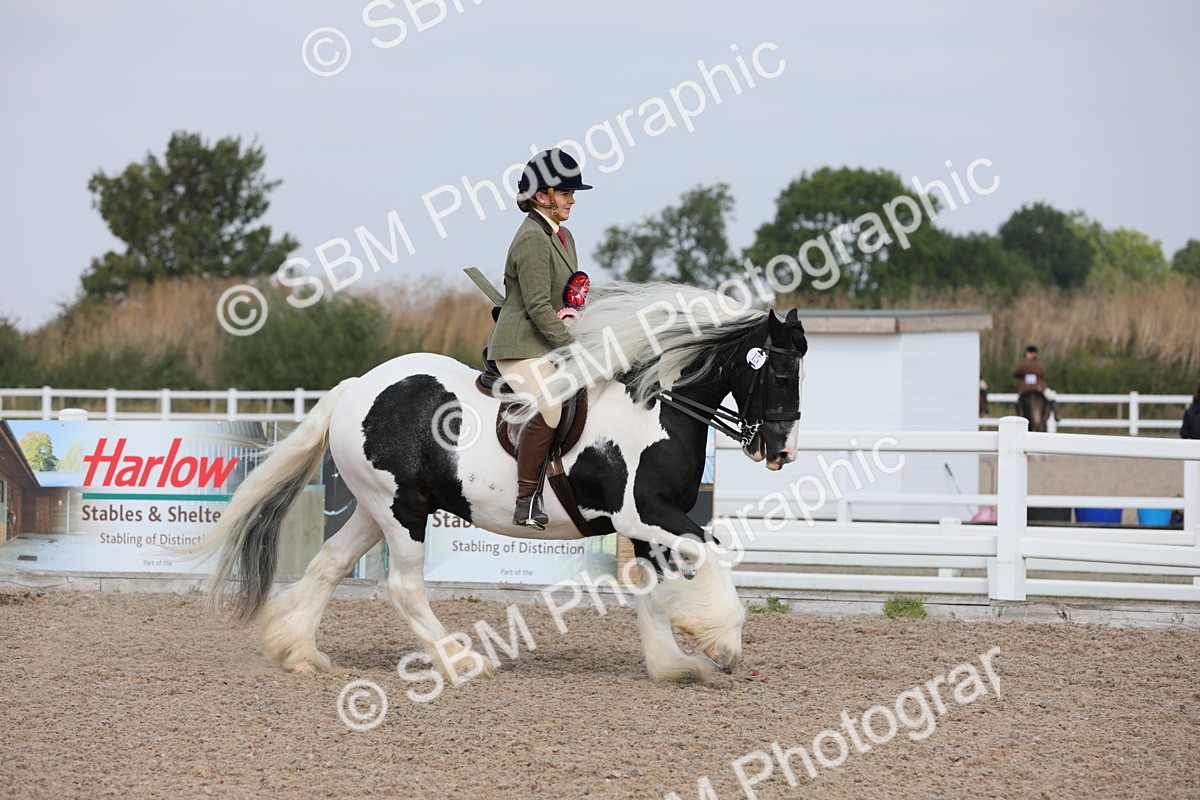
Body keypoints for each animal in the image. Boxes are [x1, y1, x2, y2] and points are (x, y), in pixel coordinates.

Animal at [191, 282, 808, 684]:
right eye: (780, 374)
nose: (782, 452)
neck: (657, 405)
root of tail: (357, 387)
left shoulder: (649, 526)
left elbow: (652, 592)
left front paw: (674, 663)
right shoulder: (647, 514)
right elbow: (713, 553)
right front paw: (722, 642)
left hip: (377, 507)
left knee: (329, 565)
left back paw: (296, 651)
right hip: (401, 512)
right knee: (404, 587)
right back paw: (460, 662)